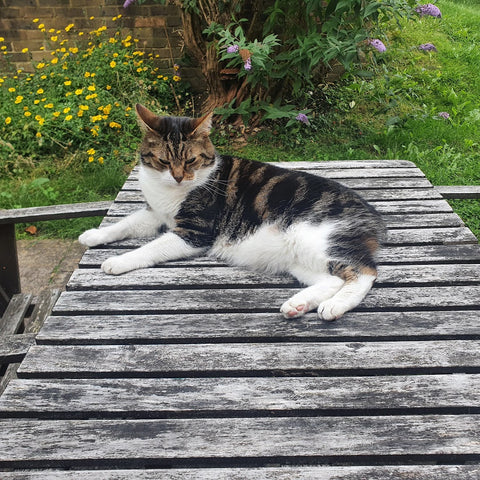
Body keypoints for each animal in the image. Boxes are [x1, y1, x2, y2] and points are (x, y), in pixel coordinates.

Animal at [79, 105, 386, 322]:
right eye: (164, 161)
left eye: (190, 160)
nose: (178, 177)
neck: (171, 192)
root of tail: (370, 212)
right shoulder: (155, 213)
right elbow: (125, 223)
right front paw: (94, 234)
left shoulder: (195, 231)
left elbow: (150, 247)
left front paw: (118, 260)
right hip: (299, 258)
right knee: (333, 278)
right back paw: (298, 305)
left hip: (315, 237)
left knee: (364, 272)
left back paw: (334, 305)